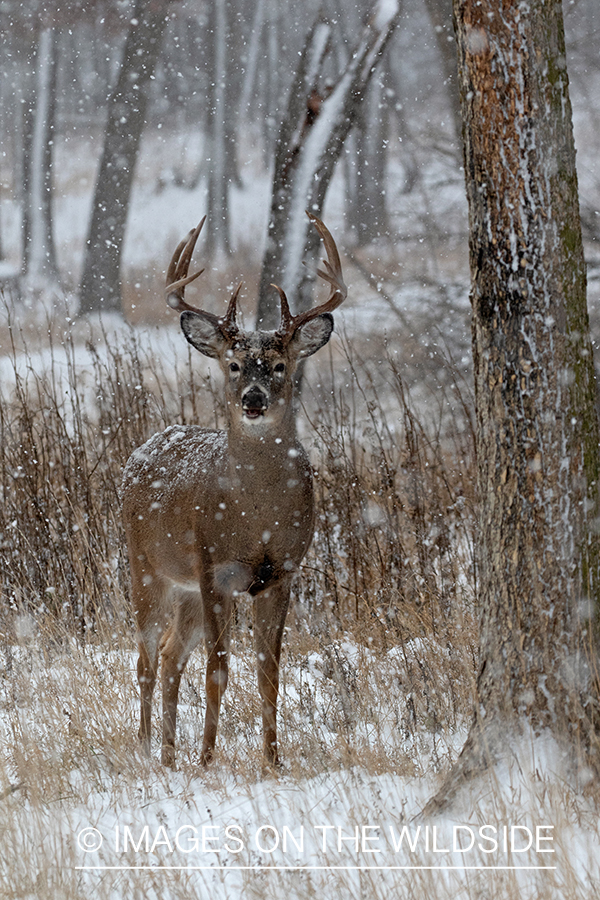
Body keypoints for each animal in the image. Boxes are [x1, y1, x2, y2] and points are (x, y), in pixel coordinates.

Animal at [122, 209, 346, 768]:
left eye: (281, 365)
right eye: (234, 363)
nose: (253, 399)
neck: (258, 520)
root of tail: (144, 447)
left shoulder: (282, 573)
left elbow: (270, 673)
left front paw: (271, 761)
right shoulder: (215, 568)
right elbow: (218, 670)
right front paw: (207, 760)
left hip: (183, 587)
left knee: (170, 654)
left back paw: (168, 754)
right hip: (145, 566)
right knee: (145, 657)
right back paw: (146, 747)